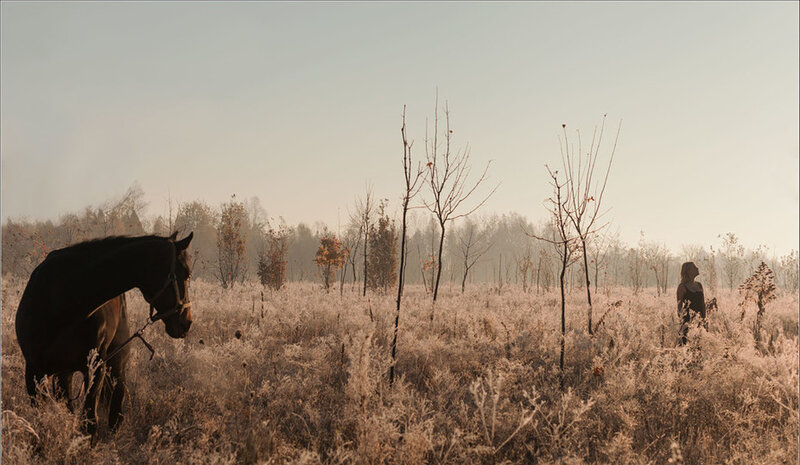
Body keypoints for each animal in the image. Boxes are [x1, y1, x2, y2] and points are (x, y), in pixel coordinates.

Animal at [14, 232, 194, 436]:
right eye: (186, 274)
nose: (186, 322)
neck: (62, 299)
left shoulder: (96, 366)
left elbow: (90, 421)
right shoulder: (34, 372)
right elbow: (41, 420)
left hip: (116, 363)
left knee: (116, 405)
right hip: (63, 373)